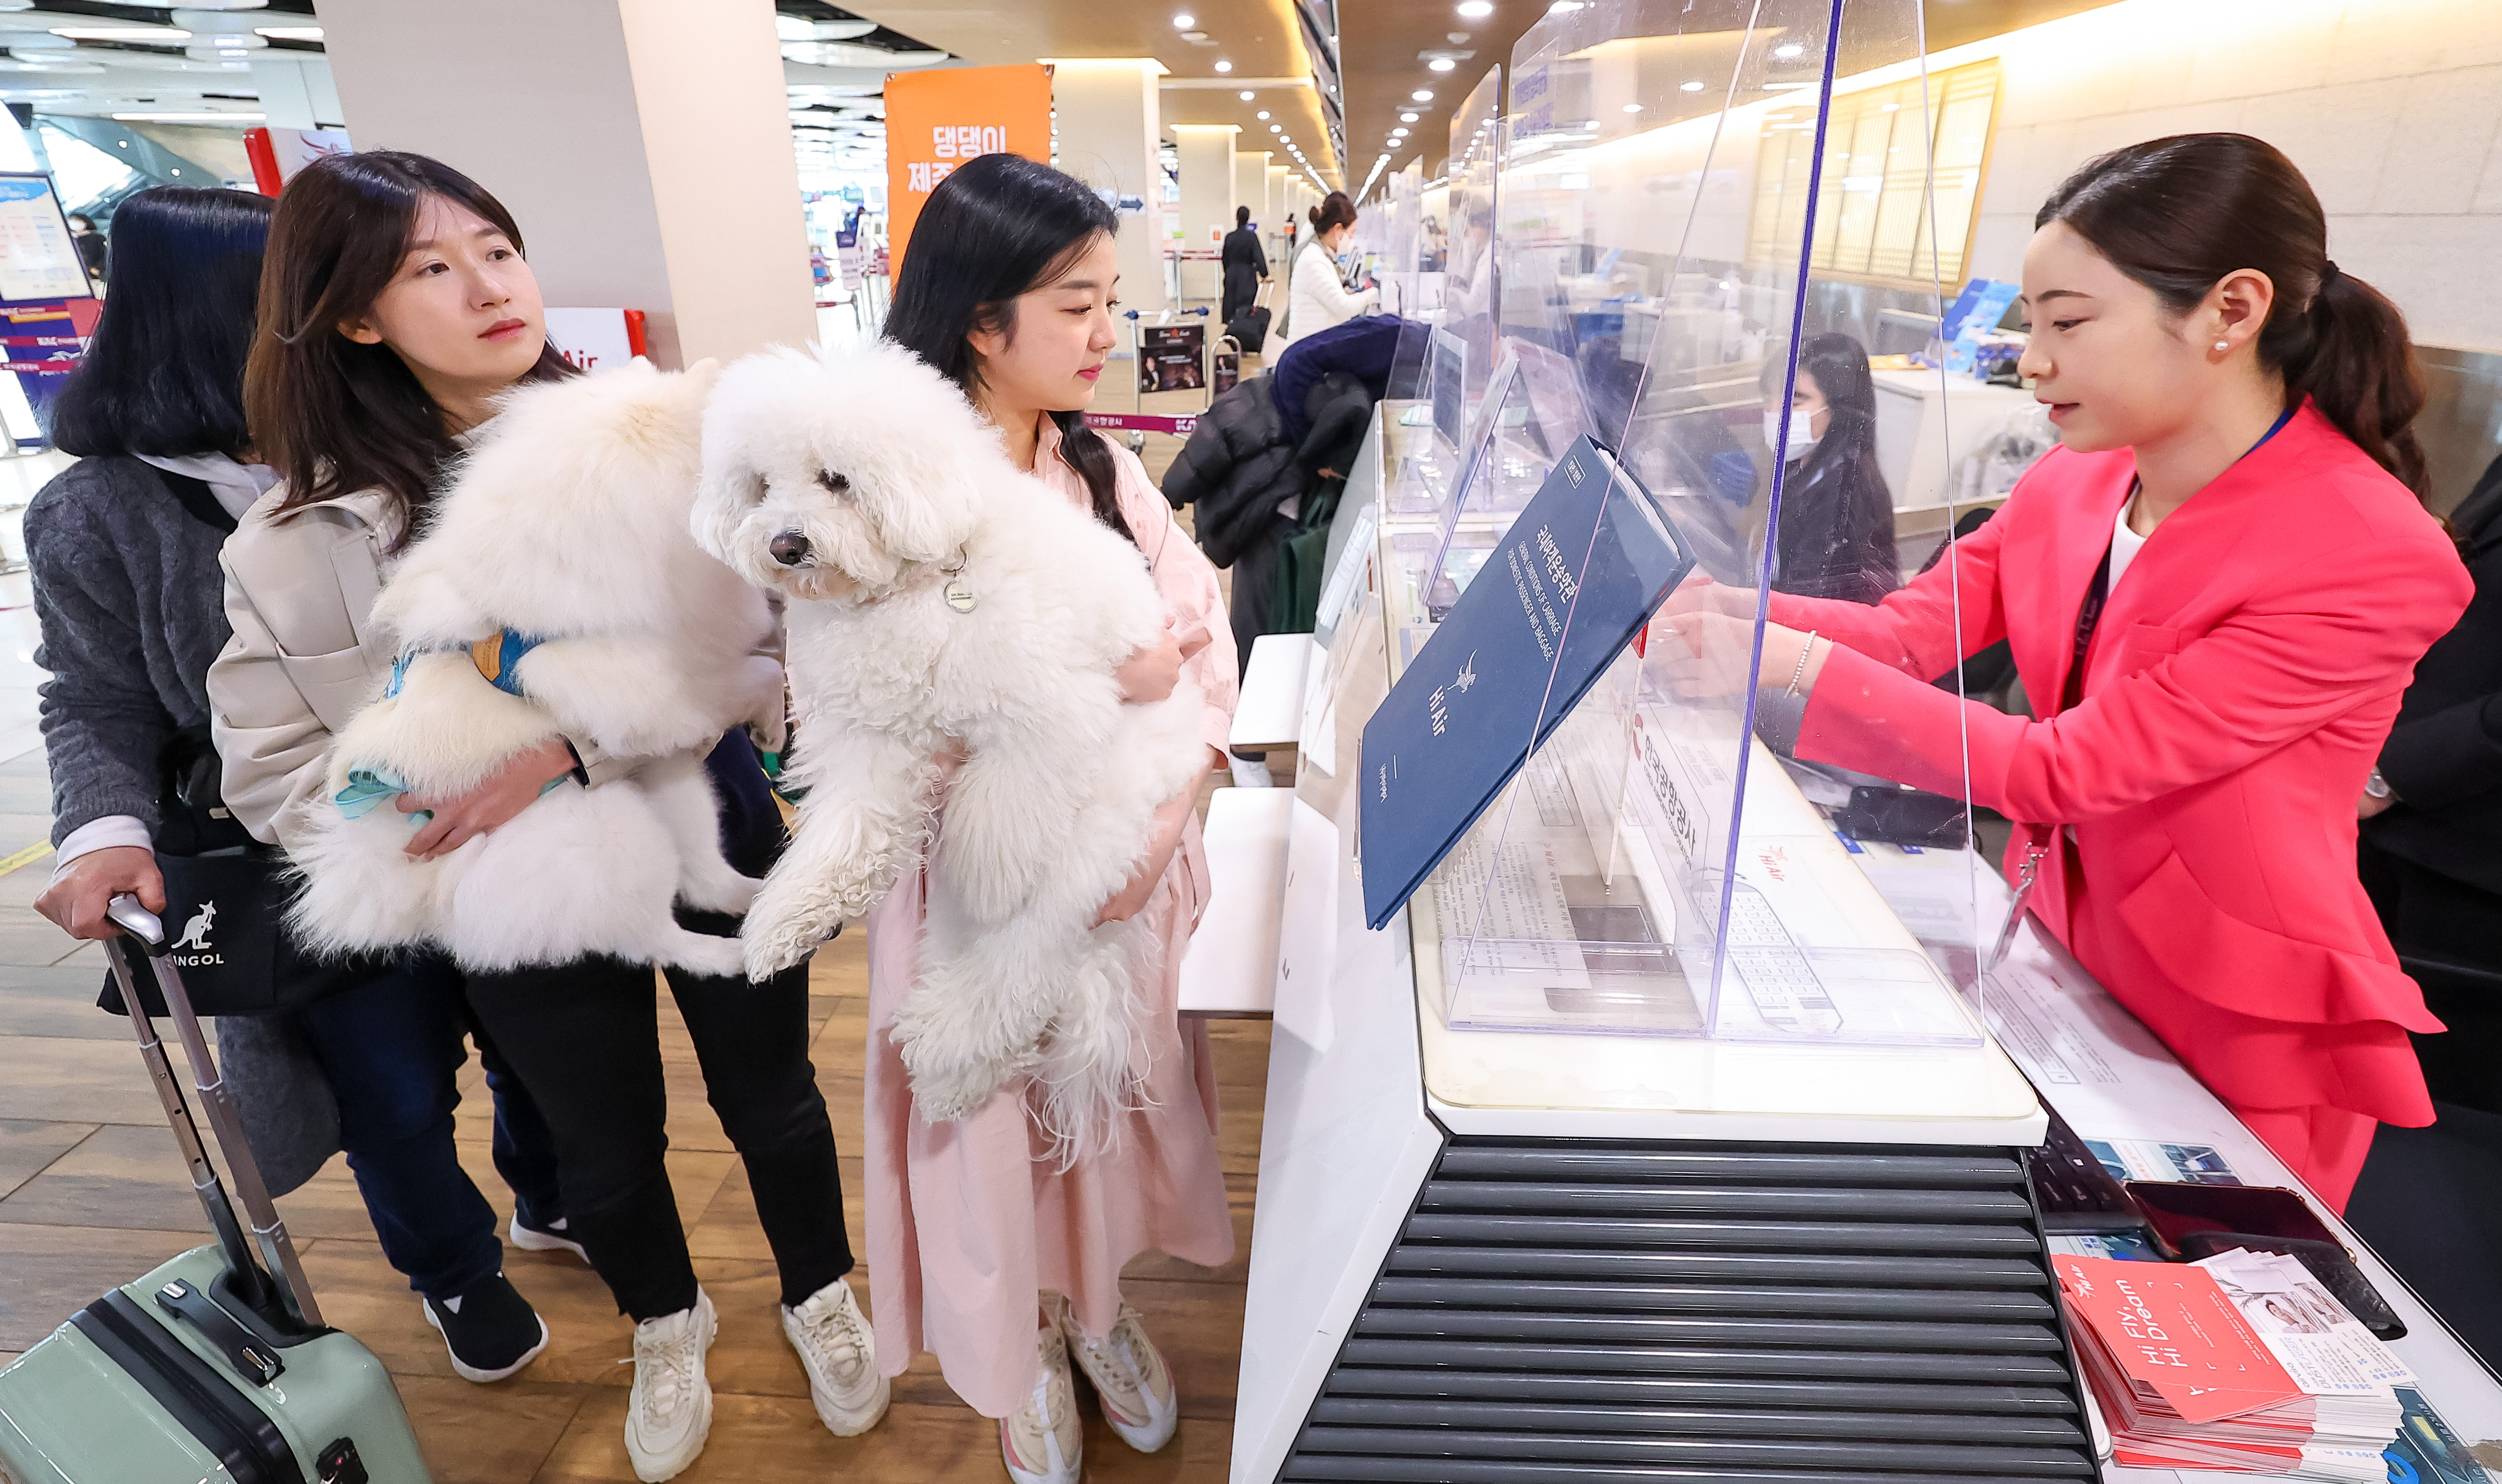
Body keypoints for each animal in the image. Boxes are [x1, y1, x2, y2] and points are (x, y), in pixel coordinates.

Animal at [701, 340, 1206, 1141]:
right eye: (761, 486)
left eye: (836, 478)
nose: (784, 545)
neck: (919, 583)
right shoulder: (874, 747)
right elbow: (845, 837)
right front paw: (786, 920)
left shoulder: (1048, 714)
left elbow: (998, 818)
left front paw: (990, 864)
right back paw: (951, 1076)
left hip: (1089, 841)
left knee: (1023, 960)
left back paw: (948, 1045)